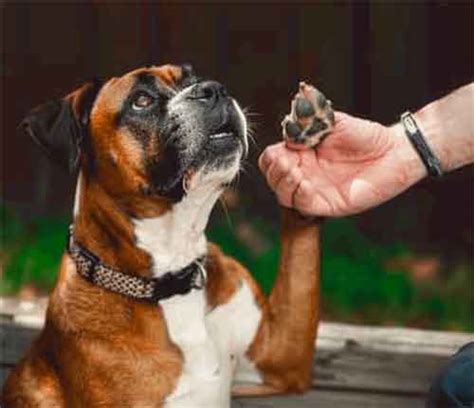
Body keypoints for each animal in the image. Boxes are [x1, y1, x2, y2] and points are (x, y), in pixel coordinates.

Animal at [2, 64, 321, 407]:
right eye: (141, 101)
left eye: (193, 79)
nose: (213, 89)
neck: (172, 274)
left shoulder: (283, 360)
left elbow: (300, 263)